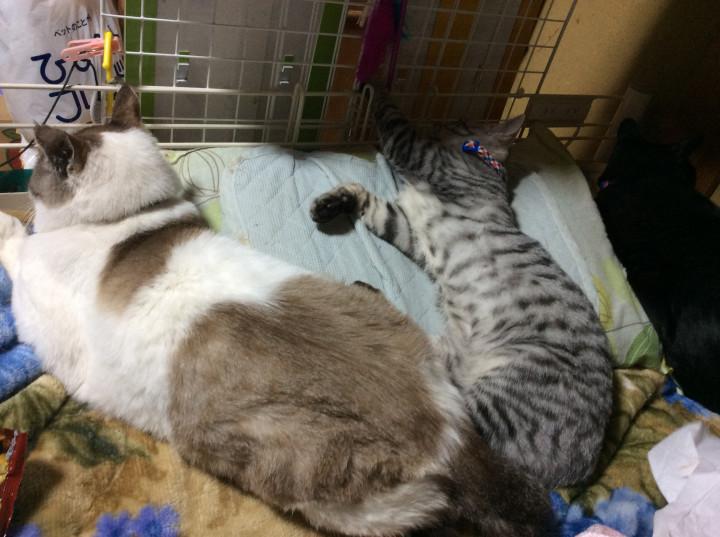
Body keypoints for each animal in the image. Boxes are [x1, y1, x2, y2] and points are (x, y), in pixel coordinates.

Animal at [0, 84, 551, 537]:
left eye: (40, 171)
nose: (28, 174)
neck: (128, 219)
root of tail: (453, 435)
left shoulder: (33, 297)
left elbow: (16, 244)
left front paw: (11, 223)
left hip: (318, 489)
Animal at [310, 88, 614, 488]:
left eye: (463, 120)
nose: (449, 118)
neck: (486, 165)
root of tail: (577, 472)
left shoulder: (419, 156)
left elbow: (394, 120)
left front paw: (381, 83)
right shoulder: (409, 230)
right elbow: (372, 203)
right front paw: (335, 202)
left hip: (504, 389)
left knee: (441, 421)